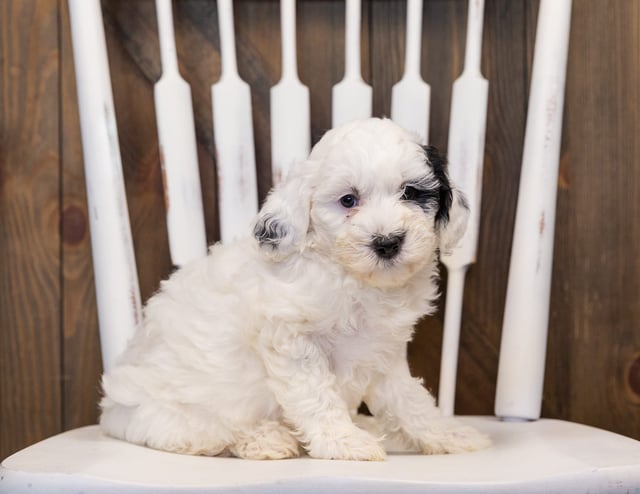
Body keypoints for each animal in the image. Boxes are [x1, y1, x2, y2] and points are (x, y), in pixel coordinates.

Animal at [100, 117, 490, 462]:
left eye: (410, 192)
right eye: (348, 201)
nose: (387, 242)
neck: (351, 277)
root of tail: (110, 414)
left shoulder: (384, 353)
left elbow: (409, 399)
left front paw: (446, 434)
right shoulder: (290, 340)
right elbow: (316, 396)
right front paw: (343, 442)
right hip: (176, 411)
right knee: (198, 432)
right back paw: (264, 439)